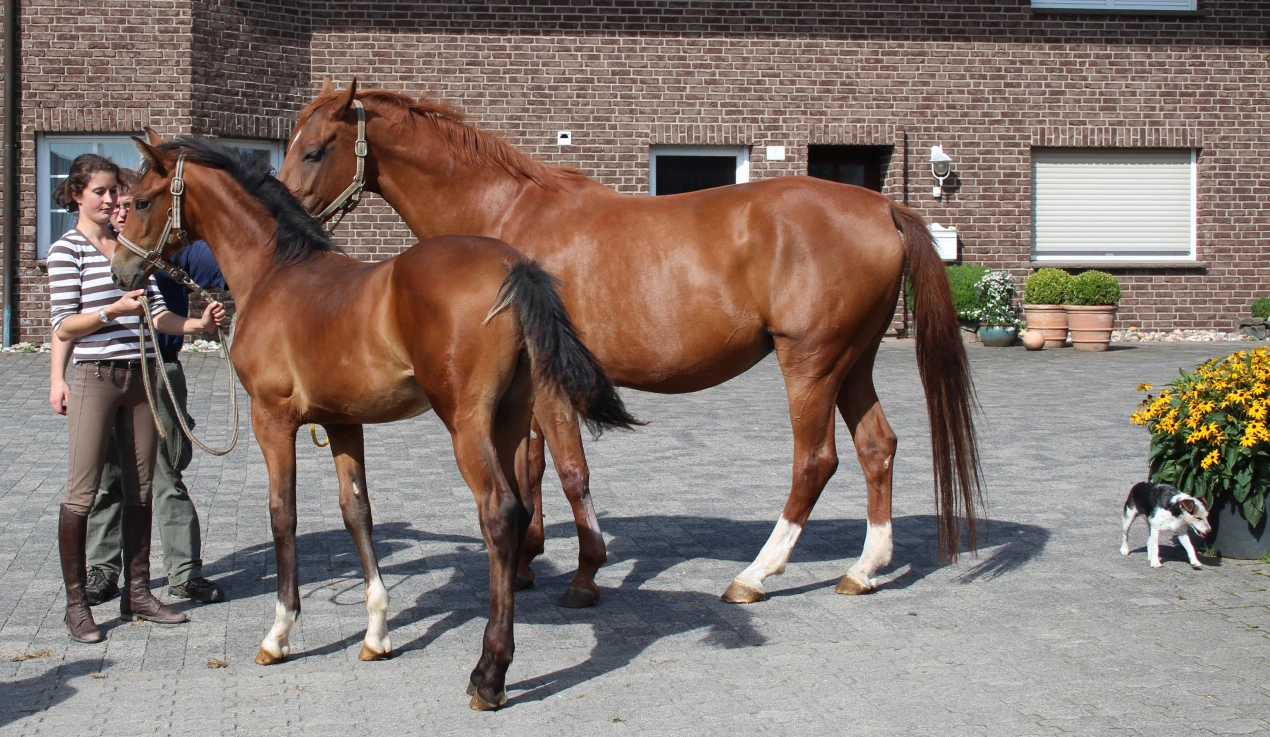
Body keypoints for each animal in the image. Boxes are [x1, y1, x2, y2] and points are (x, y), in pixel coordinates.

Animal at [111, 132, 638, 710]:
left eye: (140, 201)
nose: (120, 270)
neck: (275, 275)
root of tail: (512, 267)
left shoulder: (271, 419)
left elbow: (282, 514)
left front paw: (278, 635)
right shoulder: (343, 423)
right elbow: (356, 512)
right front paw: (377, 632)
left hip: (467, 423)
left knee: (498, 513)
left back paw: (489, 675)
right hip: (511, 416)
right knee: (518, 509)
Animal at [280, 79, 983, 609]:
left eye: (315, 150)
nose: (284, 219)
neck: (506, 216)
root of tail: (882, 208)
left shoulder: (551, 386)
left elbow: (570, 473)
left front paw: (586, 574)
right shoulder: (524, 393)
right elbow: (530, 469)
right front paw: (528, 560)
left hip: (810, 363)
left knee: (815, 461)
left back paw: (754, 576)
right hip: (852, 364)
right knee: (877, 448)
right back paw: (863, 569)